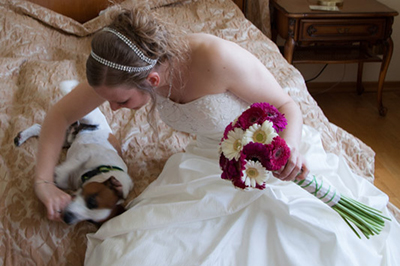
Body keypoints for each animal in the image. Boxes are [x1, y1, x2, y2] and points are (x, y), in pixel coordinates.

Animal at [14, 80, 134, 224]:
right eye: (91, 201)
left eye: (90, 221)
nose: (67, 218)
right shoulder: (85, 154)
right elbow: (66, 169)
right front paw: (57, 174)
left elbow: (63, 180)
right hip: (86, 114)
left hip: (62, 138)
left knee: (40, 128)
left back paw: (23, 136)